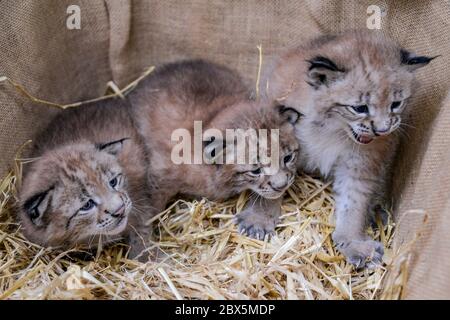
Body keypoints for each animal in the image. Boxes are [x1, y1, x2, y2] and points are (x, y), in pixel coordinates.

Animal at [264, 31, 436, 268]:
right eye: (359, 108)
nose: (382, 130)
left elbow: (354, 203)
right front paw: (258, 219)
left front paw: (353, 242)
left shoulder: (361, 166)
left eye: (396, 104)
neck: (334, 131)